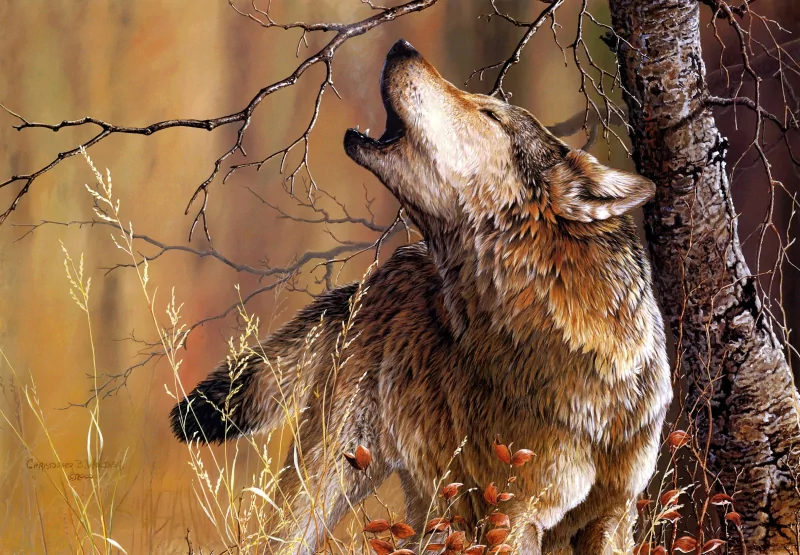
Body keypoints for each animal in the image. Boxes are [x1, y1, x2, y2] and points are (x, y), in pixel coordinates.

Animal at [170, 40, 671, 554]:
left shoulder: (614, 515)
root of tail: (374, 277)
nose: (402, 45)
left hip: (432, 507)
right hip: (326, 484)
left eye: (490, 114)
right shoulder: (510, 515)